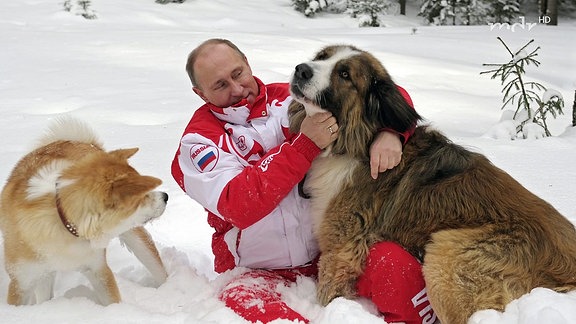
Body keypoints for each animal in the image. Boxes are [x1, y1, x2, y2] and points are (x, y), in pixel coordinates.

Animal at [1, 117, 169, 306]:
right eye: (144, 194)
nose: (165, 196)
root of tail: (81, 142)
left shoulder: (98, 269)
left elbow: (112, 301)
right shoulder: (21, 282)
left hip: (136, 239)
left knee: (156, 267)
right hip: (43, 274)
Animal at [290, 45, 576, 324]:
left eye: (344, 74)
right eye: (321, 57)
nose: (301, 69)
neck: (358, 141)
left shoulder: (340, 247)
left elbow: (329, 290)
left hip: (447, 254)